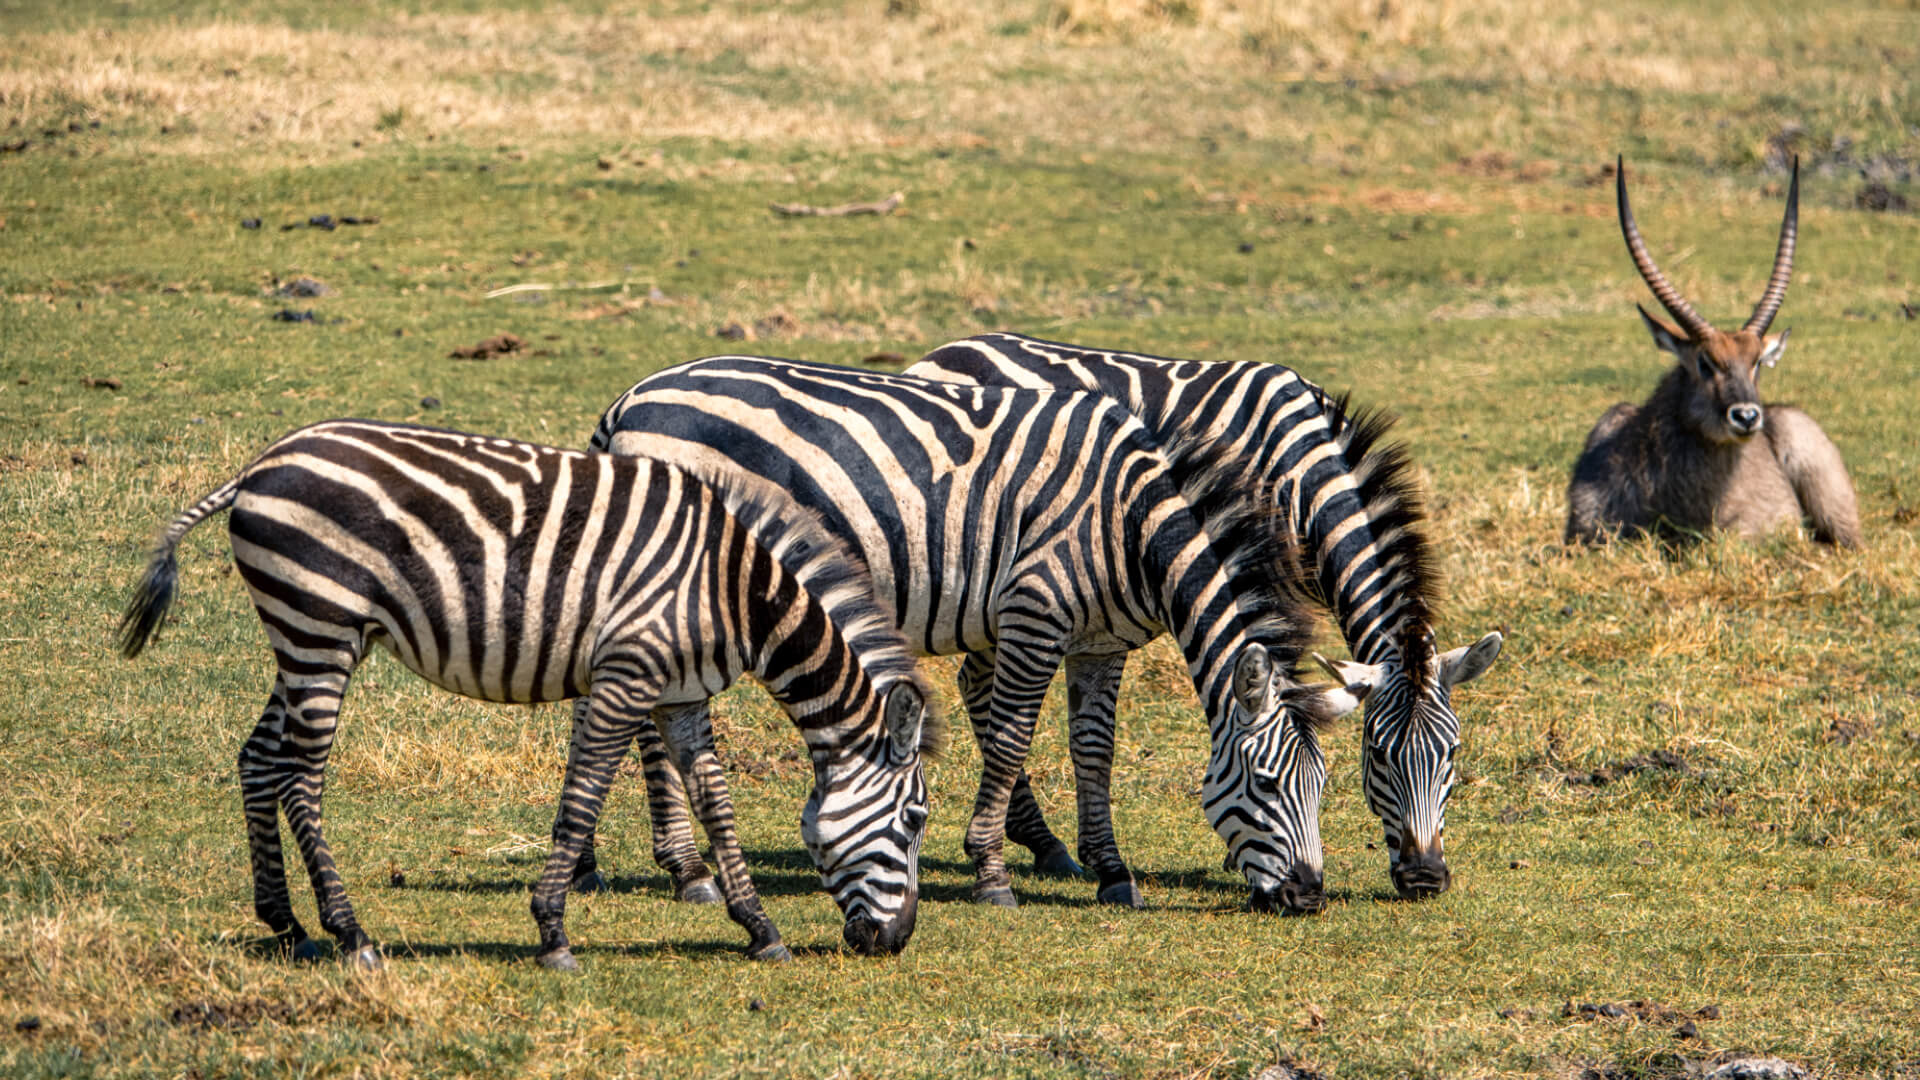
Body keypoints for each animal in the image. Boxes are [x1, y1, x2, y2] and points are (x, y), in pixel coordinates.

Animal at [117, 419, 938, 969]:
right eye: (915, 819)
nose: (896, 942)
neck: (735, 591)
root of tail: (259, 466)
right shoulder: (625, 677)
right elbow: (582, 800)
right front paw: (552, 932)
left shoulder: (682, 698)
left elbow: (717, 805)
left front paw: (759, 929)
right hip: (320, 626)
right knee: (300, 778)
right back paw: (350, 933)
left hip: (302, 635)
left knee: (258, 759)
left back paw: (285, 924)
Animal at [588, 355, 1367, 914]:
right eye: (1265, 782)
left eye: (1326, 785)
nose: (1308, 898)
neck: (1130, 525)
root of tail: (630, 399)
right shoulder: (1034, 612)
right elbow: (1011, 738)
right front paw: (993, 871)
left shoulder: (1099, 643)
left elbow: (1095, 750)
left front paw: (1111, 871)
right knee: (647, 723)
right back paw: (687, 870)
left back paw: (613, 866)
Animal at [906, 333, 1502, 899]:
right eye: (1378, 755)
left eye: (1452, 753)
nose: (1425, 878)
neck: (1300, 473)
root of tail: (948, 350)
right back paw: (1038, 840)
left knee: (974, 678)